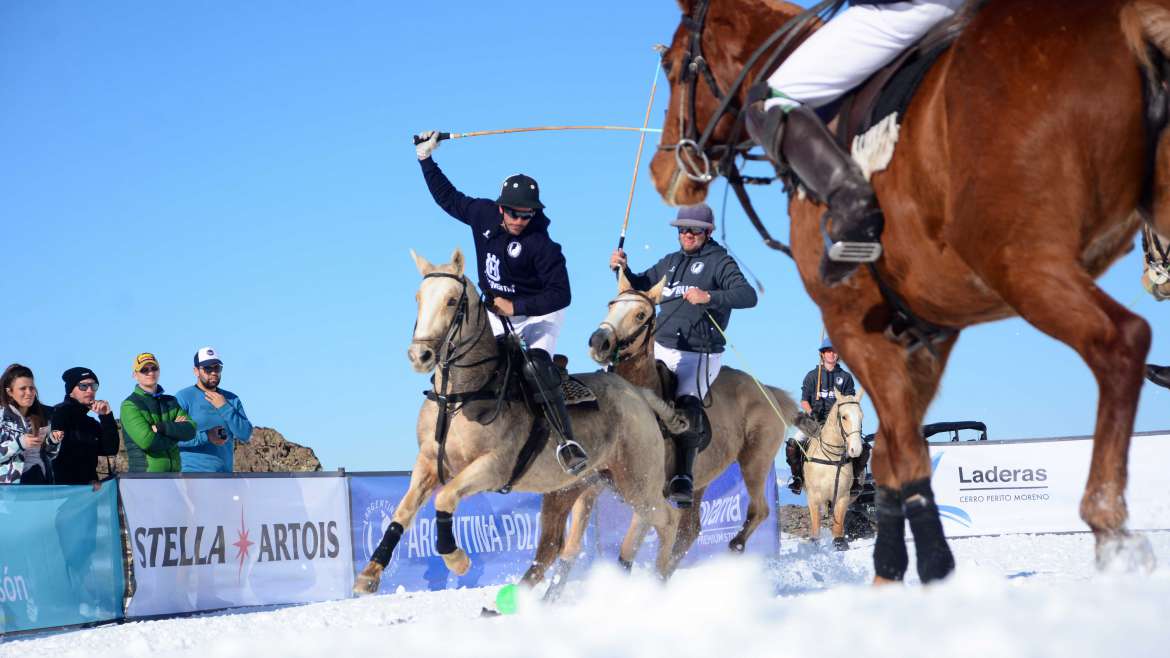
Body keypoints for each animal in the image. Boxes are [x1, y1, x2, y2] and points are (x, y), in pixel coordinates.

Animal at [353, 249, 683, 590]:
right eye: (418, 297)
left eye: (451, 300)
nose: (420, 356)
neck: (461, 395)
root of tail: (639, 394)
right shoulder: (429, 462)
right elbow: (403, 511)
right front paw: (369, 573)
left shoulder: (494, 466)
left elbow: (444, 498)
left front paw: (457, 560)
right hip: (581, 486)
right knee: (554, 547)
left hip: (637, 481)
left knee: (669, 520)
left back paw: (660, 579)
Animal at [800, 388, 865, 547]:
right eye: (844, 417)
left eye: (861, 416)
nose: (856, 449)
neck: (832, 458)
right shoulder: (813, 496)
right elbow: (815, 527)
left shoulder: (842, 496)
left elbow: (838, 526)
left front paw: (840, 543)